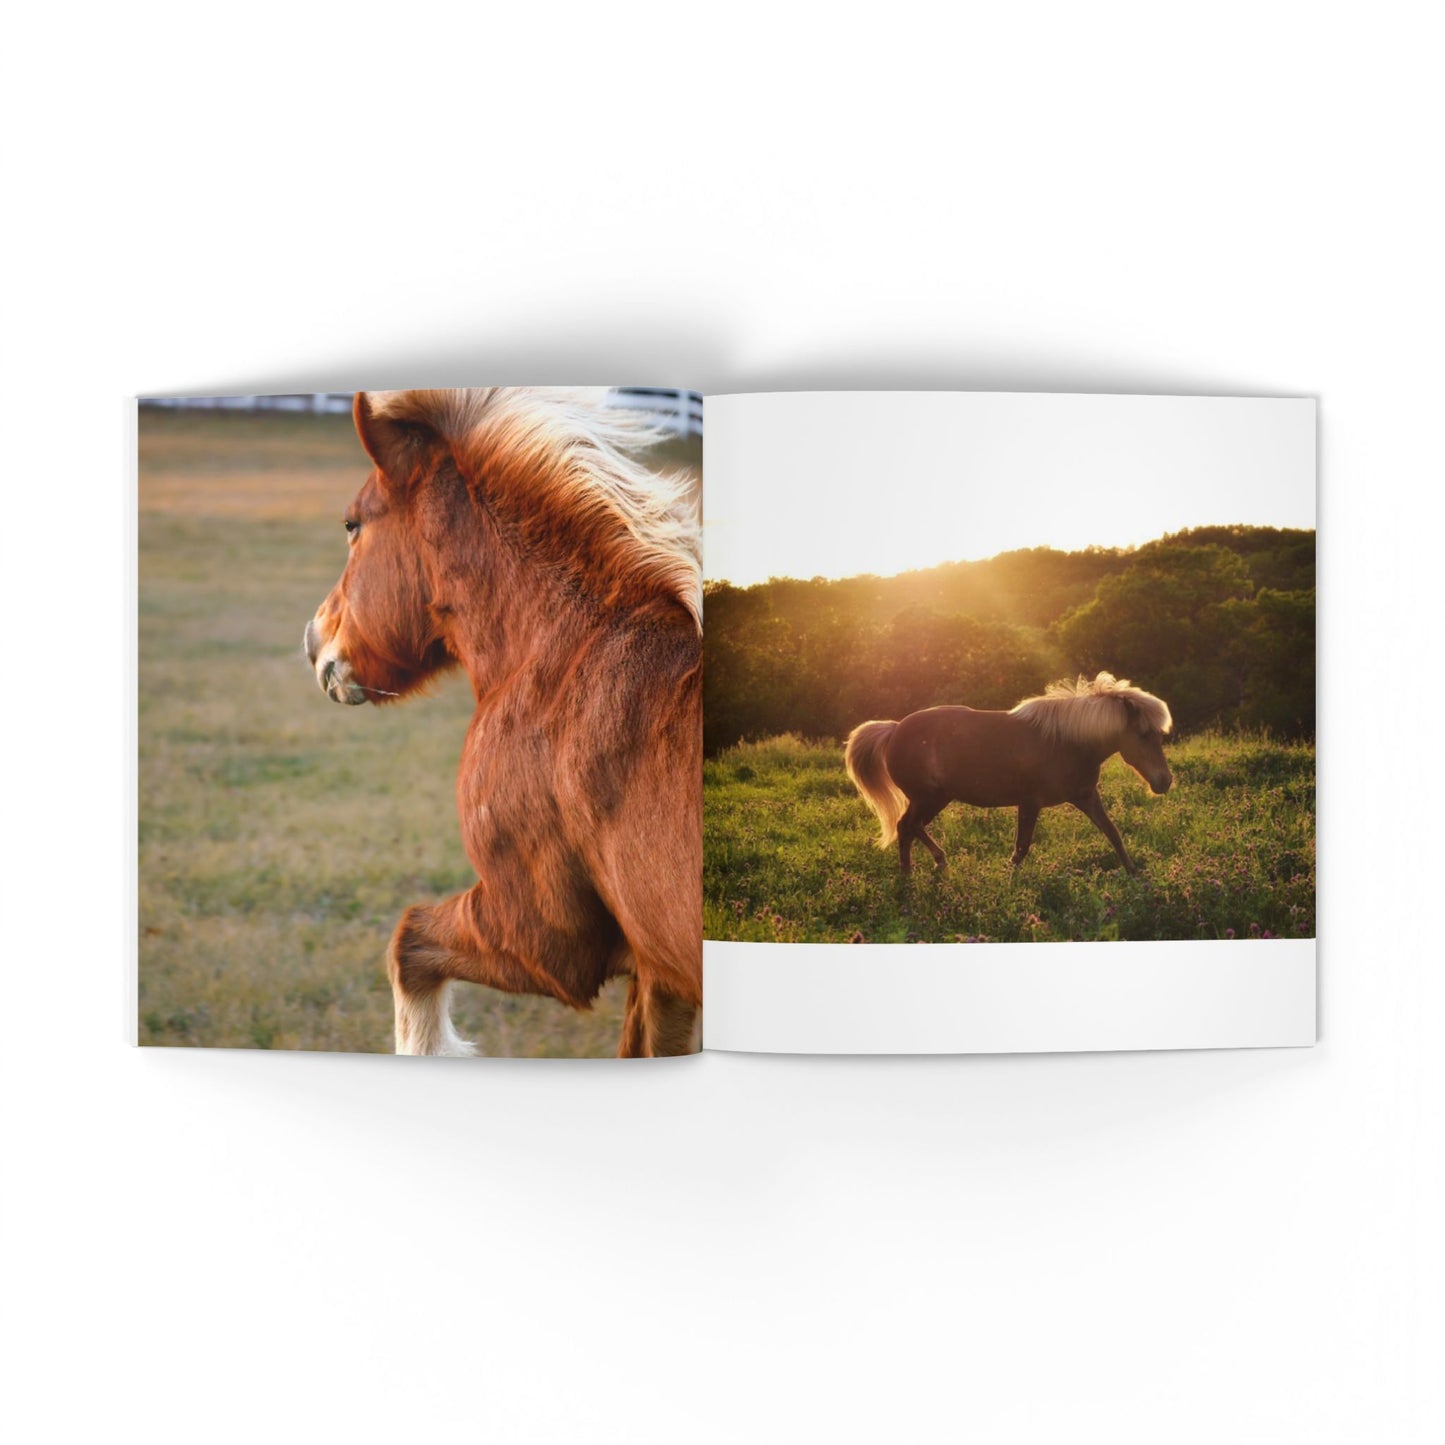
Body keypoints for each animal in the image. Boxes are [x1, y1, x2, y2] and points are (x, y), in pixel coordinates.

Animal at [304, 390, 702, 1057]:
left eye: (353, 524)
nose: (314, 641)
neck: (564, 654)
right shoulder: (659, 971)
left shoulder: (540, 941)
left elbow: (407, 945)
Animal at [845, 673, 1173, 876]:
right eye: (1143, 734)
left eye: (1159, 734)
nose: (1164, 781)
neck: (1065, 742)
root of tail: (894, 729)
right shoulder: (1029, 803)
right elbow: (1021, 847)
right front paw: (1007, 879)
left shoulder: (1086, 796)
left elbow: (1113, 833)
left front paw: (1134, 875)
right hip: (927, 798)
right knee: (905, 828)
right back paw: (907, 877)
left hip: (937, 798)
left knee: (912, 828)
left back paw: (939, 862)